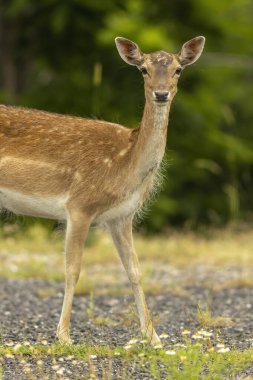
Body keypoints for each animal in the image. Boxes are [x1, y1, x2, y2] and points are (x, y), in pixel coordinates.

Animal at [0, 35, 206, 344]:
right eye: (143, 69)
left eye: (178, 69)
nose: (161, 94)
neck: (125, 166)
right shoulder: (79, 205)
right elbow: (73, 270)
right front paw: (64, 336)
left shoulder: (122, 216)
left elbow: (135, 271)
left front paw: (154, 338)